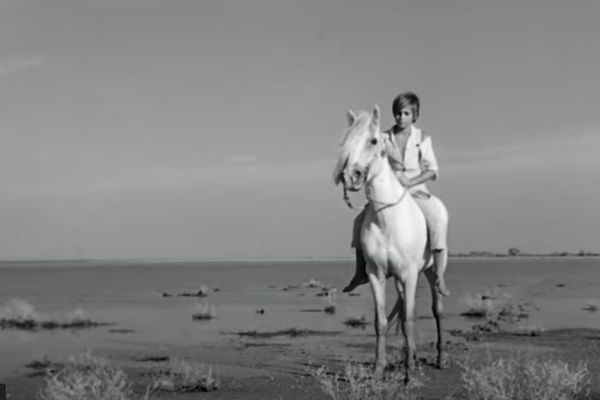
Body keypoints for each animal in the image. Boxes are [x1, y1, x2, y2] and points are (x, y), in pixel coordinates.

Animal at [332, 104, 446, 380]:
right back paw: (412, 357)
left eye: (373, 141)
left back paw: (439, 359)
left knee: (437, 309)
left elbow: (409, 319)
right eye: (346, 142)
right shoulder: (378, 274)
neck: (388, 219)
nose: (351, 177)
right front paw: (378, 368)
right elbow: (382, 321)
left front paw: (409, 374)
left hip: (430, 271)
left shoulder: (410, 274)